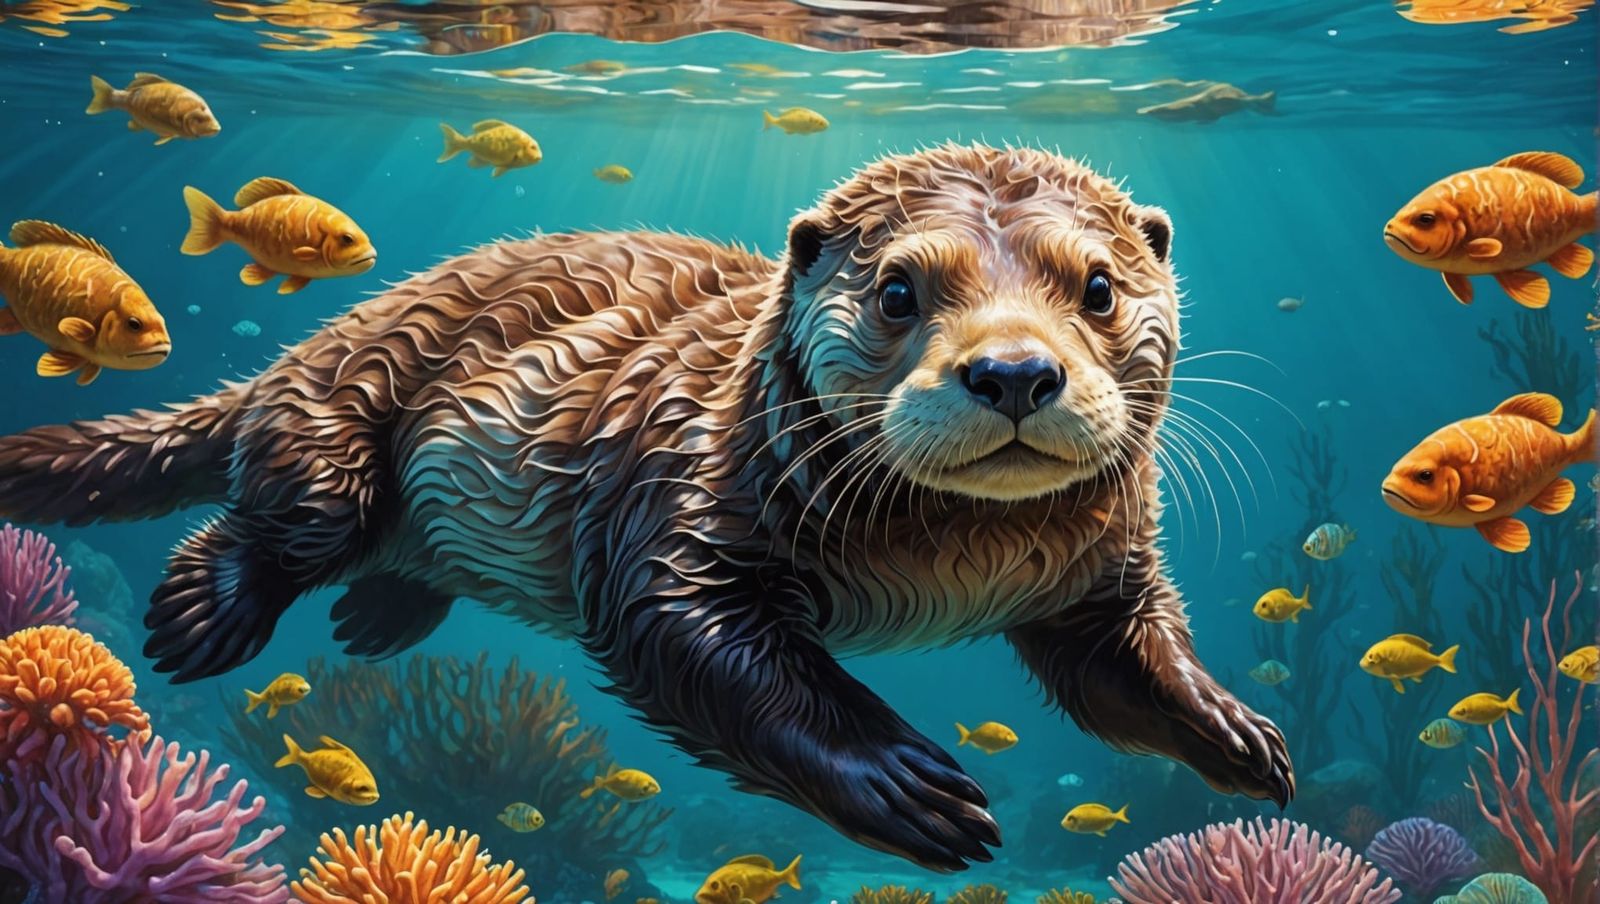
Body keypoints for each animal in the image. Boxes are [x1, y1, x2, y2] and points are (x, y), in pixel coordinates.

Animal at [0, 144, 1291, 871]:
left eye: (1099, 287)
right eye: (897, 292)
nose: (1015, 371)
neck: (949, 563)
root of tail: (303, 347)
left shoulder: (1097, 564)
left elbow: (1119, 654)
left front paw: (1236, 730)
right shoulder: (678, 505)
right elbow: (696, 641)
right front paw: (905, 785)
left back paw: (376, 619)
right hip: (339, 421)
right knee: (269, 513)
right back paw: (201, 614)